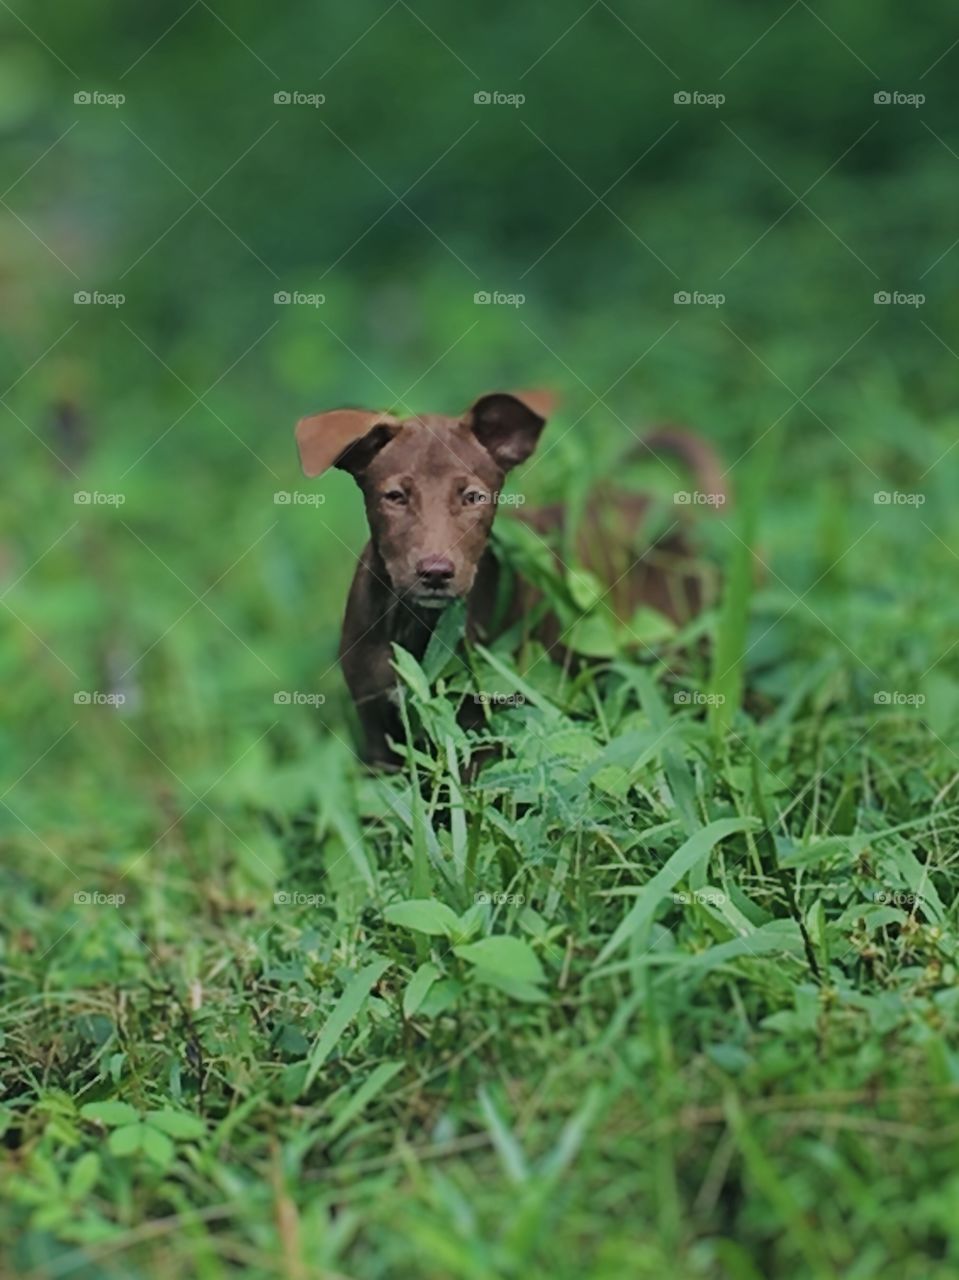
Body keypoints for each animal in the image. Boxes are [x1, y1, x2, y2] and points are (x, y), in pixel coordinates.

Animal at [295, 389, 722, 762]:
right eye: (395, 497)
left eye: (474, 497)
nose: (435, 572)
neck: (416, 625)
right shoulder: (376, 728)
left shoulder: (484, 727)